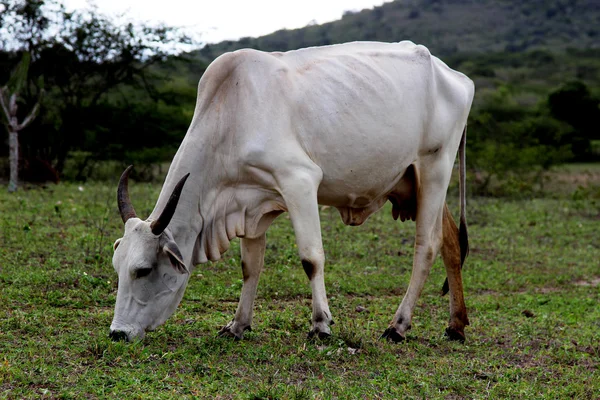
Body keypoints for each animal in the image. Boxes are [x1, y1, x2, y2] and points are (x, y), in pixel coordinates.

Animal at [108, 40, 474, 344]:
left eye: (143, 270)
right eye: (117, 267)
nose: (117, 333)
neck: (230, 114)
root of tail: (457, 77)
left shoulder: (299, 181)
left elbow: (311, 258)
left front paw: (321, 324)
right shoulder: (249, 202)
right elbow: (250, 266)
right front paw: (238, 325)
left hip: (435, 169)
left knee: (427, 246)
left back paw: (398, 326)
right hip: (417, 182)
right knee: (451, 243)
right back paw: (456, 325)